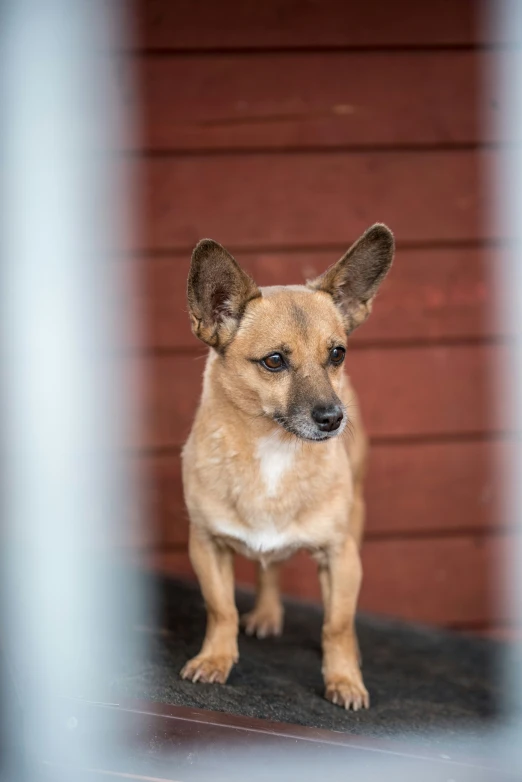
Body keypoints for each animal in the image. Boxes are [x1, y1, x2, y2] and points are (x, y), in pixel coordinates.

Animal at [181, 225, 392, 712]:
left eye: (338, 354)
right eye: (274, 361)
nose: (334, 417)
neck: (274, 449)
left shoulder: (340, 557)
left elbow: (336, 625)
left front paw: (344, 680)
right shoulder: (206, 546)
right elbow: (221, 609)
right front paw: (216, 659)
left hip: (356, 522)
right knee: (269, 568)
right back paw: (266, 612)